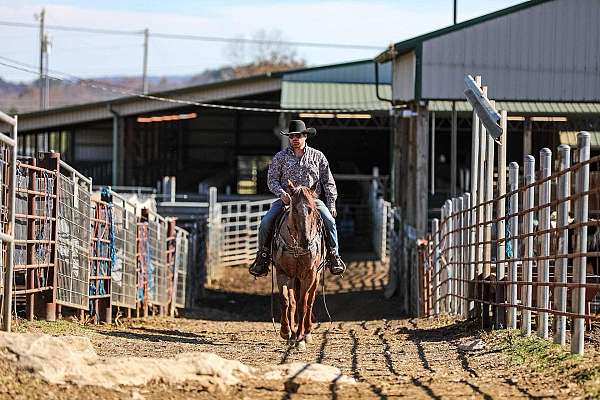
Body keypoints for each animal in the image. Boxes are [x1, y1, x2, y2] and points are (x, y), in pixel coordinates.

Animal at [272, 180, 324, 352]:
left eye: (310, 209)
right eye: (294, 209)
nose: (305, 241)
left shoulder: (309, 275)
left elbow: (303, 304)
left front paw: (301, 338)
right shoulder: (282, 272)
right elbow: (286, 300)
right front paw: (286, 331)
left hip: (316, 277)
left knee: (310, 301)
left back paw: (306, 332)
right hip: (293, 278)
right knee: (293, 301)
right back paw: (292, 334)